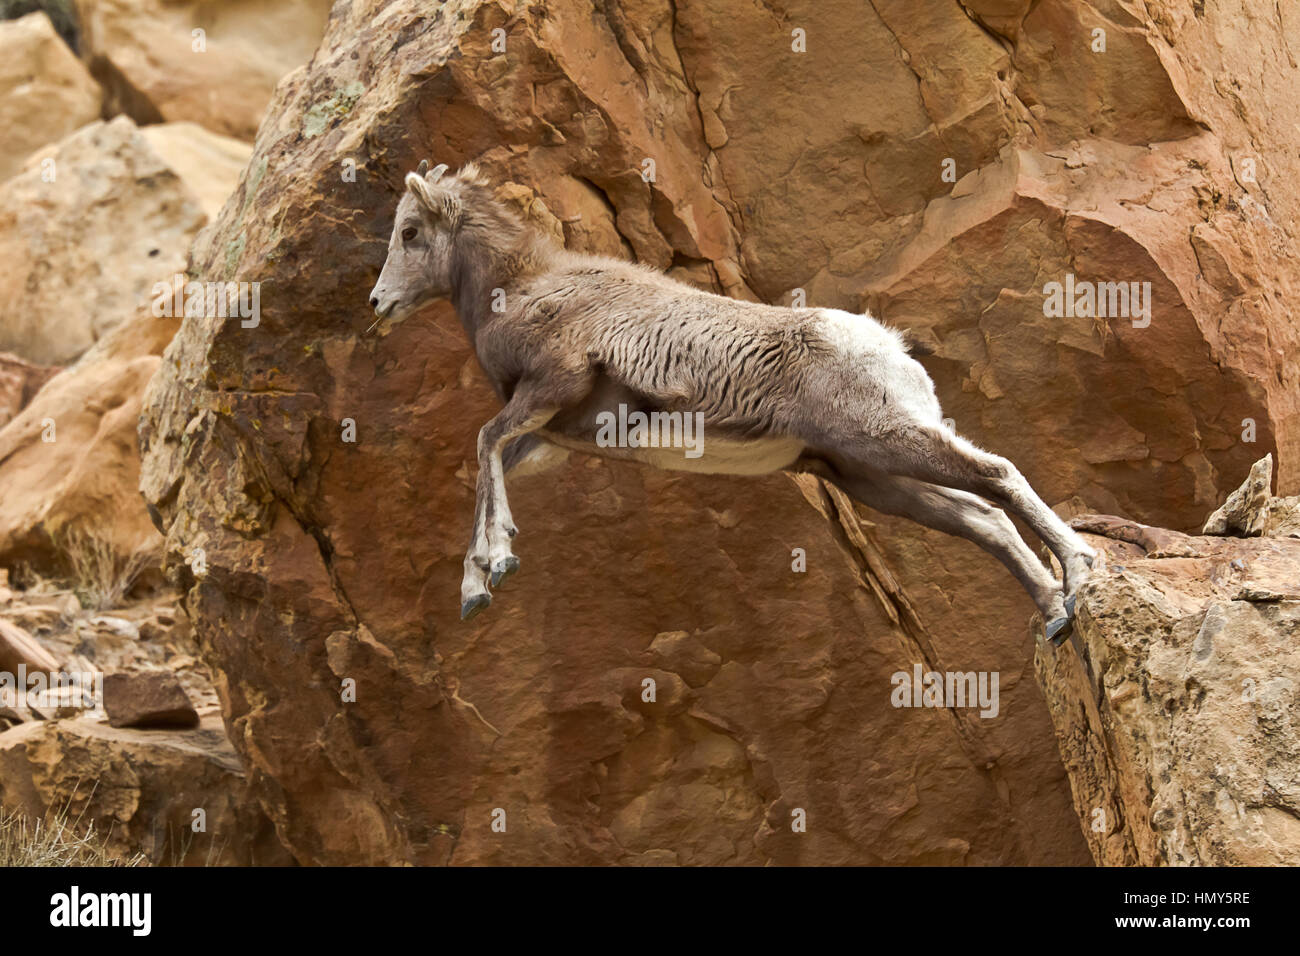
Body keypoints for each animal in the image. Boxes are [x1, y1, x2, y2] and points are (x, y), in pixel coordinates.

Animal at [371, 162, 1092, 642]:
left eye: (410, 232)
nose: (378, 303)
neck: (521, 288)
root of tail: (886, 343)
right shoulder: (553, 436)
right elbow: (487, 462)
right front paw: (476, 587)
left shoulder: (555, 386)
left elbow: (482, 441)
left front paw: (498, 561)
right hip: (870, 479)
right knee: (982, 518)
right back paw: (1055, 616)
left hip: (882, 438)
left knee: (996, 475)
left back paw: (1081, 576)